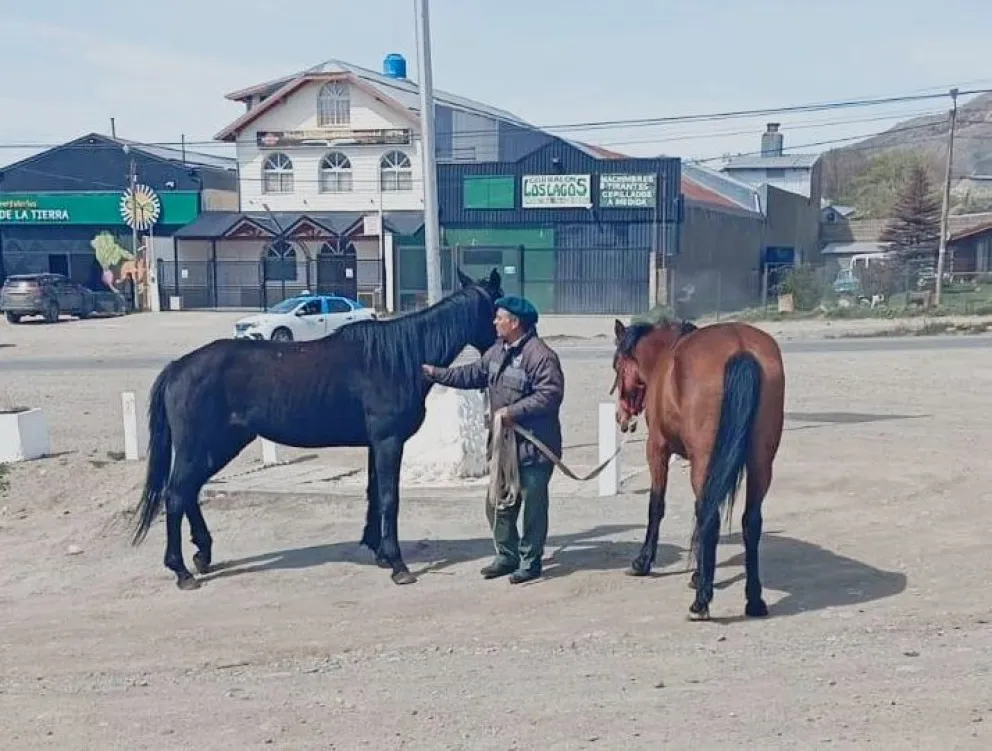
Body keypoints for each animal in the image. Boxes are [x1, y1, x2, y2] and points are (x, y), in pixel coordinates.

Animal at [131, 268, 504, 590]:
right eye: (501, 304)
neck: (397, 359)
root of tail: (178, 367)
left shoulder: (376, 444)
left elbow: (373, 494)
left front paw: (379, 552)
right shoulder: (388, 442)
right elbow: (388, 498)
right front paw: (398, 565)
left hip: (220, 445)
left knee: (188, 492)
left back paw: (202, 555)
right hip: (201, 447)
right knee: (176, 495)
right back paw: (181, 570)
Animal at [611, 317, 785, 620]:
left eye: (617, 365)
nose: (621, 418)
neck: (664, 357)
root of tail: (741, 349)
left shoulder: (657, 449)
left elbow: (657, 505)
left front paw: (643, 562)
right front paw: (697, 573)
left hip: (705, 460)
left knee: (710, 518)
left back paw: (701, 601)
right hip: (760, 463)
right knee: (750, 521)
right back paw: (754, 601)